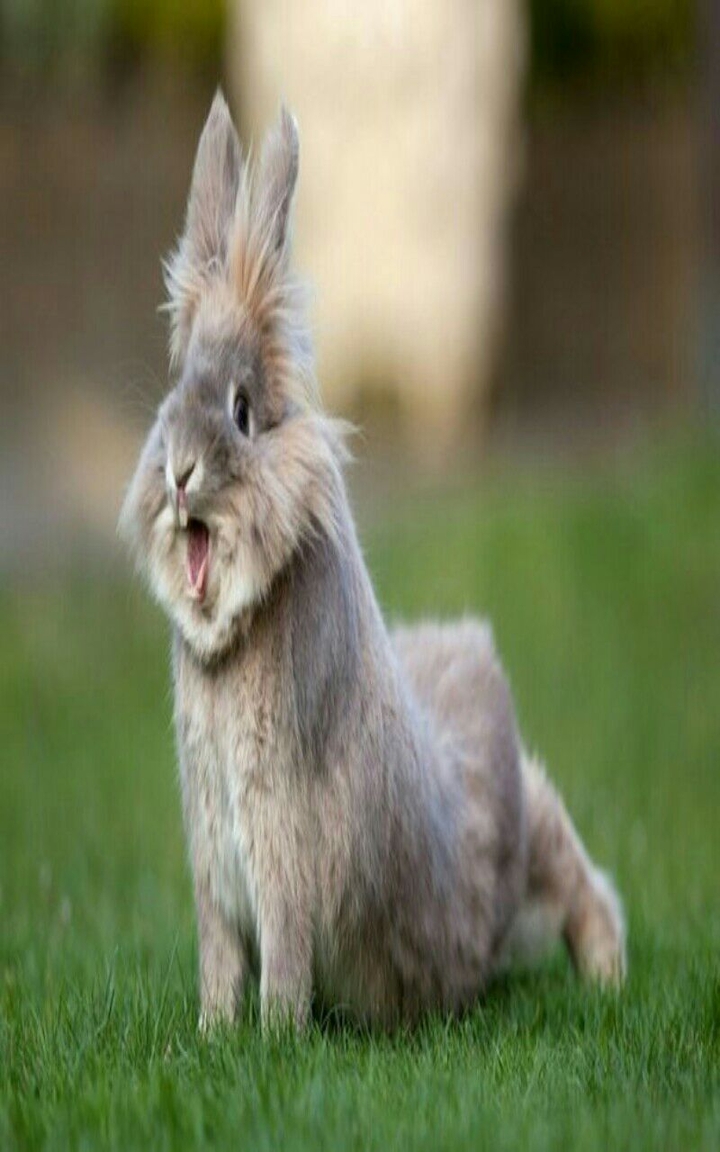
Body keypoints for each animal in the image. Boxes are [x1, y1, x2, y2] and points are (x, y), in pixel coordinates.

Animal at [119, 92, 626, 1032]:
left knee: (581, 876)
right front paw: (212, 1036)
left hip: (528, 833)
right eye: (176, 392)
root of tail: (471, 651)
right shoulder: (213, 862)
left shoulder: (280, 852)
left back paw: (609, 977)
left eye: (242, 410)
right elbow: (219, 961)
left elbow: (282, 959)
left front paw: (274, 1040)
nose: (178, 473)